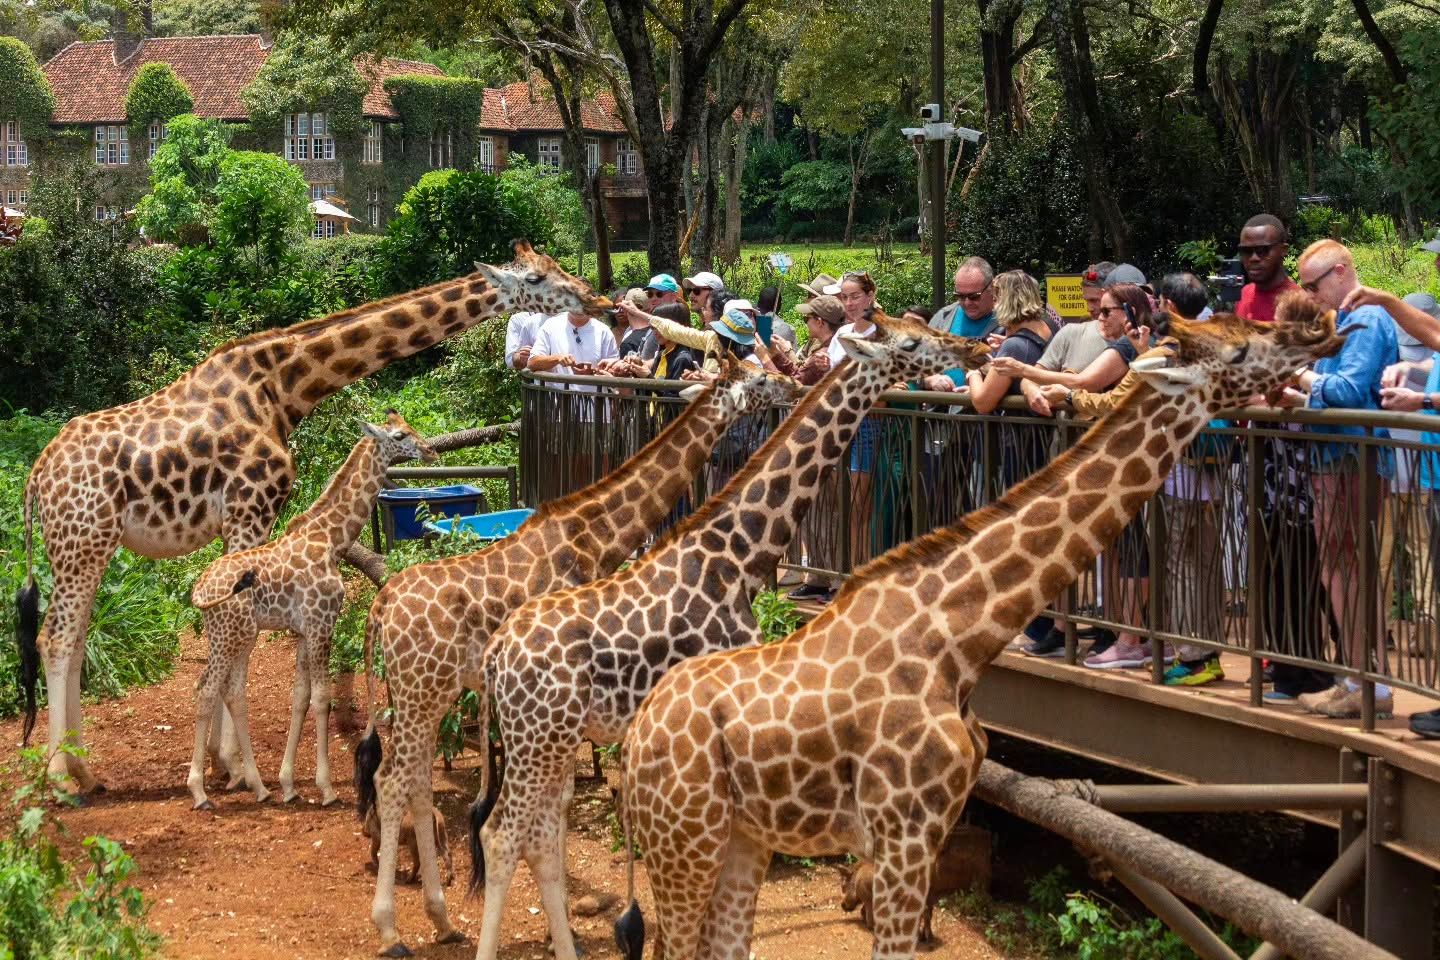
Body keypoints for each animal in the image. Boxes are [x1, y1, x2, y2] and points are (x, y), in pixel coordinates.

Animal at [185, 412, 437, 811]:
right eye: (400, 435)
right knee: (207, 690)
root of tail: (199, 590)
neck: (332, 541)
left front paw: (289, 785)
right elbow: (322, 699)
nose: (430, 450)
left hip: (237, 634)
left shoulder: (304, 630)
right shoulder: (322, 624)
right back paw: (199, 792)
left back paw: (259, 786)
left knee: (233, 691)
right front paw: (327, 788)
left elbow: (300, 698)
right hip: (229, 636)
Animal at [355, 360, 801, 958]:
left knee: (416, 783)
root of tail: (380, 606)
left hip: (426, 693)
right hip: (423, 692)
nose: (791, 382)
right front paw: (557, 927)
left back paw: (443, 919)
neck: (593, 535)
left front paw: (557, 921)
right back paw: (391, 930)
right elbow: (560, 802)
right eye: (755, 378)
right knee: (393, 781)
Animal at [470, 314, 992, 960]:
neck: (738, 556)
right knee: (502, 832)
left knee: (534, 829)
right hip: (540, 735)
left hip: (545, 736)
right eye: (911, 341)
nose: (974, 349)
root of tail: (496, 655)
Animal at [612, 295, 1350, 960]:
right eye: (1239, 352)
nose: (1318, 324)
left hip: (741, 837)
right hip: (687, 837)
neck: (960, 640)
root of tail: (642, 731)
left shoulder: (929, 826)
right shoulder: (904, 831)